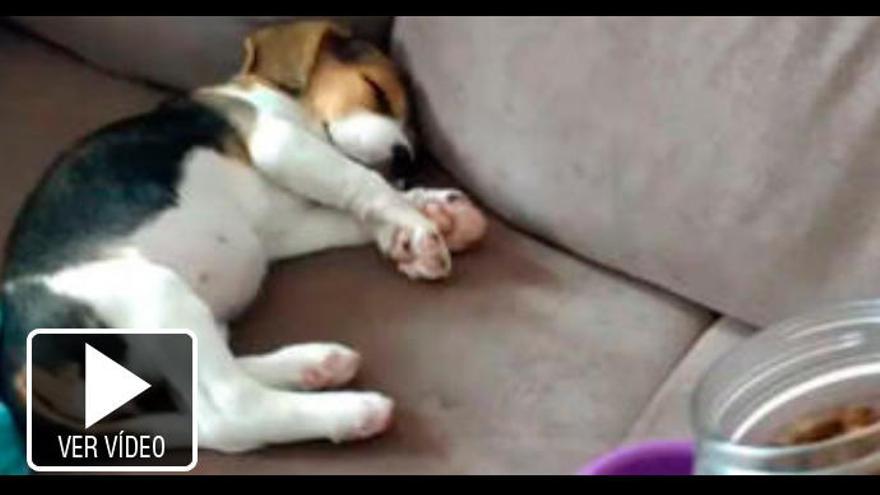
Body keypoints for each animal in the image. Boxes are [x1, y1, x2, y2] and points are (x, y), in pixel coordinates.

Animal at [0, 20, 484, 454]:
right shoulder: (278, 142)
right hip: (154, 292)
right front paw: (419, 227)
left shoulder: (283, 229)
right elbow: (362, 180)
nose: (407, 159)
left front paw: (437, 214)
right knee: (230, 416)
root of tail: (14, 373)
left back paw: (313, 366)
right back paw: (350, 411)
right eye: (376, 90)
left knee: (203, 392)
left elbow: (353, 210)